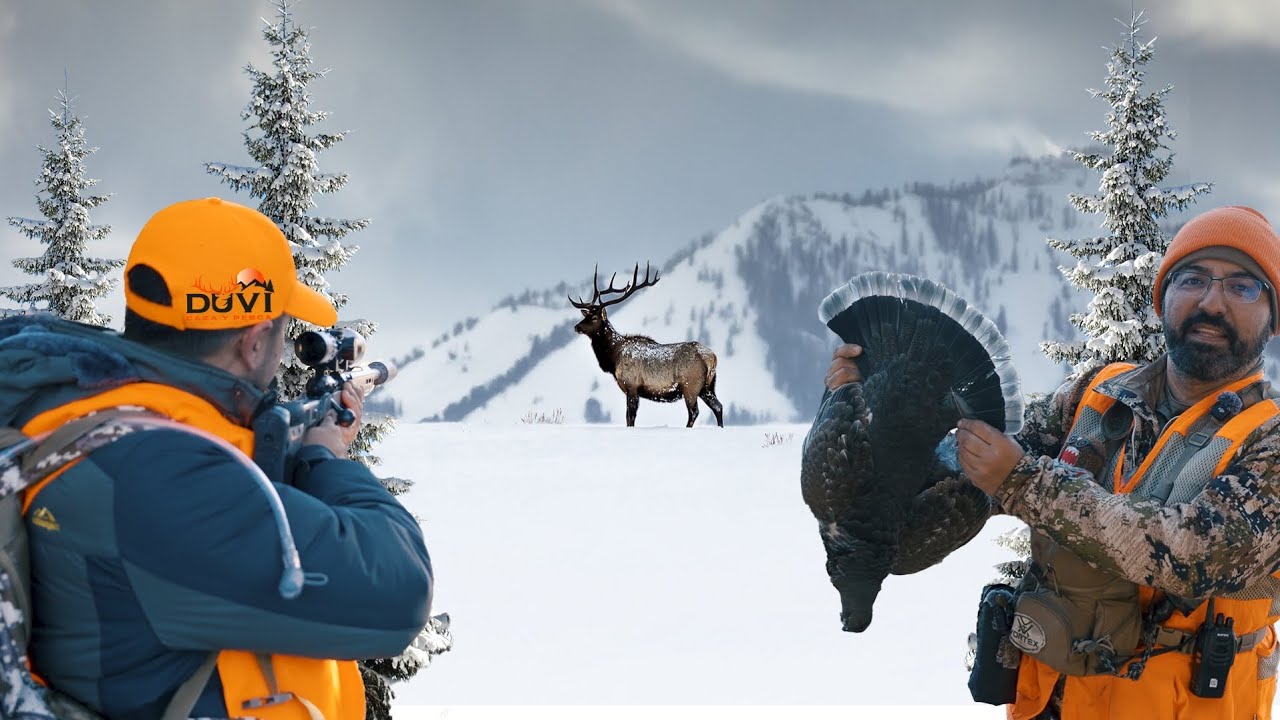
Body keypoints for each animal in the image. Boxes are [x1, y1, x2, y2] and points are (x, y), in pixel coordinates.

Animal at [569, 263, 724, 428]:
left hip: (691, 385)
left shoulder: (632, 385)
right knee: (718, 406)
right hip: (708, 386)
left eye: (594, 318)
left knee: (694, 411)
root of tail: (711, 357)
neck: (613, 357)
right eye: (586, 315)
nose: (577, 327)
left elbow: (630, 417)